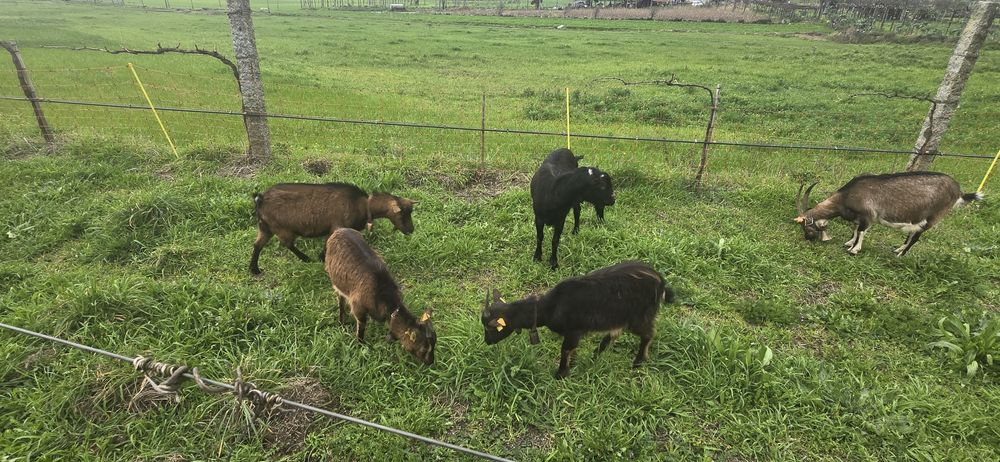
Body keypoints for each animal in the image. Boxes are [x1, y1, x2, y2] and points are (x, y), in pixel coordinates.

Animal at [250, 182, 416, 275]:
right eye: (402, 214)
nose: (411, 230)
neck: (363, 205)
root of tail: (261, 198)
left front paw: (322, 258)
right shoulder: (337, 226)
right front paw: (321, 258)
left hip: (265, 226)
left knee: (257, 245)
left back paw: (254, 269)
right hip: (281, 228)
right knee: (287, 244)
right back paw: (306, 258)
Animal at [325, 228, 435, 365]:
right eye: (424, 348)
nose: (431, 362)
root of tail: (340, 230)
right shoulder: (358, 307)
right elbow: (361, 326)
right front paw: (360, 345)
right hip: (335, 281)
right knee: (340, 300)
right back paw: (341, 321)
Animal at [481, 261, 673, 379]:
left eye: (489, 328)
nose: (487, 342)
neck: (548, 308)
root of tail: (661, 282)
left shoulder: (573, 331)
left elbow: (565, 349)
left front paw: (560, 374)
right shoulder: (576, 333)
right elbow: (572, 349)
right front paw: (572, 364)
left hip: (639, 316)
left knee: (648, 334)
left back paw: (638, 362)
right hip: (619, 316)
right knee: (614, 333)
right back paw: (596, 354)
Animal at [794, 172, 982, 257]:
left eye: (806, 226)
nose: (808, 238)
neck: (847, 196)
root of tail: (959, 191)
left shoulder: (867, 215)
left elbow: (861, 231)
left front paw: (854, 250)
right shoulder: (859, 217)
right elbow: (855, 230)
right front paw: (849, 243)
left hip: (933, 217)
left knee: (916, 237)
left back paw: (901, 255)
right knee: (913, 233)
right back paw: (898, 248)